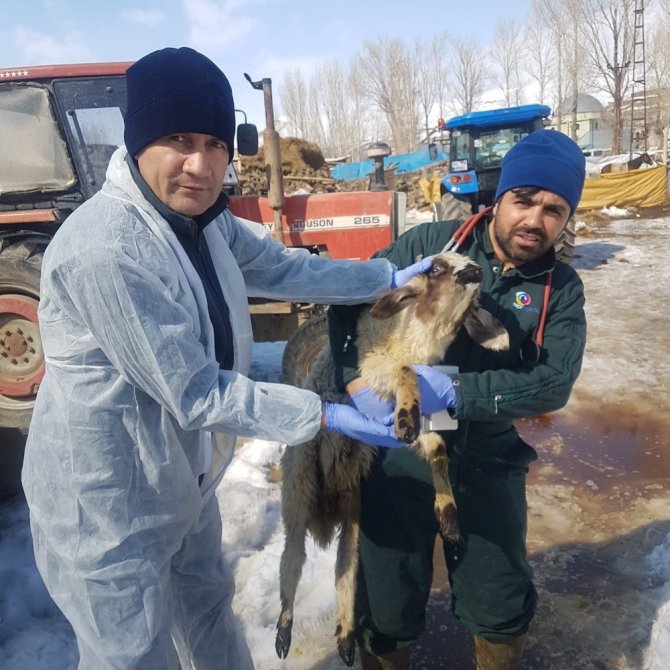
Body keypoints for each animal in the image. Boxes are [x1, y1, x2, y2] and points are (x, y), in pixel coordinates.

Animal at [276, 252, 506, 668]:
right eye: (434, 268)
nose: (474, 270)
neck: (415, 338)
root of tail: (325, 510)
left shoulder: (417, 416)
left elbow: (437, 449)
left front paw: (449, 520)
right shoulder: (375, 369)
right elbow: (404, 373)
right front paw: (406, 417)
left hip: (353, 507)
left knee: (345, 567)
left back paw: (346, 639)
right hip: (298, 485)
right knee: (293, 556)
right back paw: (283, 631)